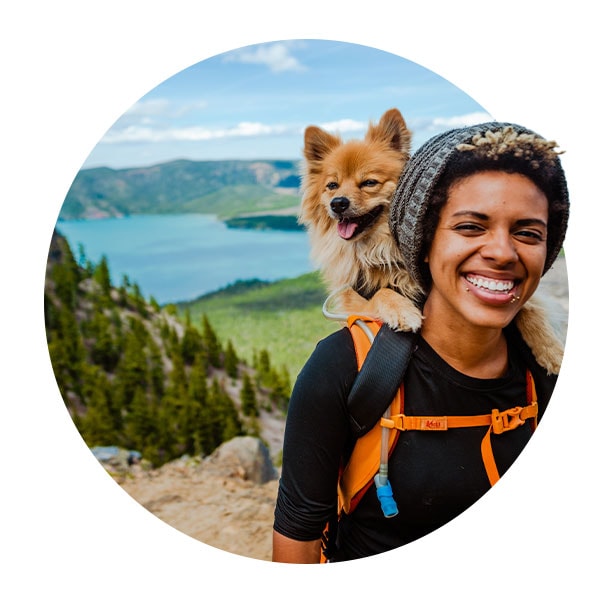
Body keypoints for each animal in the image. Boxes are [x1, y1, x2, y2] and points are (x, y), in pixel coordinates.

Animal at [302, 105, 564, 372]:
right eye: (332, 186)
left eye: (369, 183)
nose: (338, 203)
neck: (382, 248)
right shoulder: (355, 303)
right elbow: (381, 293)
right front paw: (402, 310)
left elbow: (530, 308)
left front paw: (552, 350)